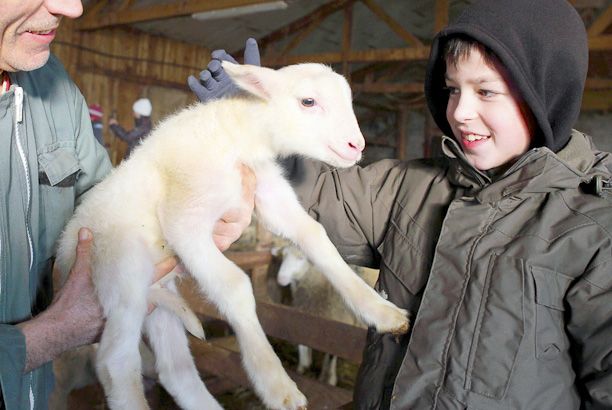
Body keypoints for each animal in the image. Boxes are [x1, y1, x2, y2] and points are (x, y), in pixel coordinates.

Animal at [55, 60, 408, 410]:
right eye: (308, 101)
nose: (357, 146)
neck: (234, 134)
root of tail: (62, 261)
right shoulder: (185, 219)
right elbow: (235, 285)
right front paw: (276, 384)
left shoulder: (267, 189)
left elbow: (315, 235)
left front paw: (382, 312)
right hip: (122, 269)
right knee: (114, 361)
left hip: (156, 299)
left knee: (175, 370)